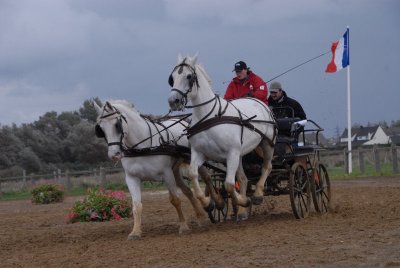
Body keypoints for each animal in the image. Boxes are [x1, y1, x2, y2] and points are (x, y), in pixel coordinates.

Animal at [93, 99, 206, 240]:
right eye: (101, 129)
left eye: (116, 124)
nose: (114, 154)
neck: (142, 147)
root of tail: (184, 121)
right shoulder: (131, 178)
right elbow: (136, 205)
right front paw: (135, 232)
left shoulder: (166, 173)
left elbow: (175, 200)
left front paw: (184, 227)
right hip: (175, 171)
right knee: (188, 192)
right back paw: (201, 217)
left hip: (194, 160)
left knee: (205, 179)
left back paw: (211, 203)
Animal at [167, 55, 276, 218]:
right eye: (172, 78)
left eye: (189, 76)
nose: (173, 101)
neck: (209, 116)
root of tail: (258, 102)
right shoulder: (201, 153)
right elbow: (193, 174)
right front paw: (209, 203)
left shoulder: (231, 153)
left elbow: (229, 185)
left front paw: (244, 200)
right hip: (240, 154)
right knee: (243, 178)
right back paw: (242, 212)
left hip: (266, 143)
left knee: (267, 167)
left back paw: (257, 195)